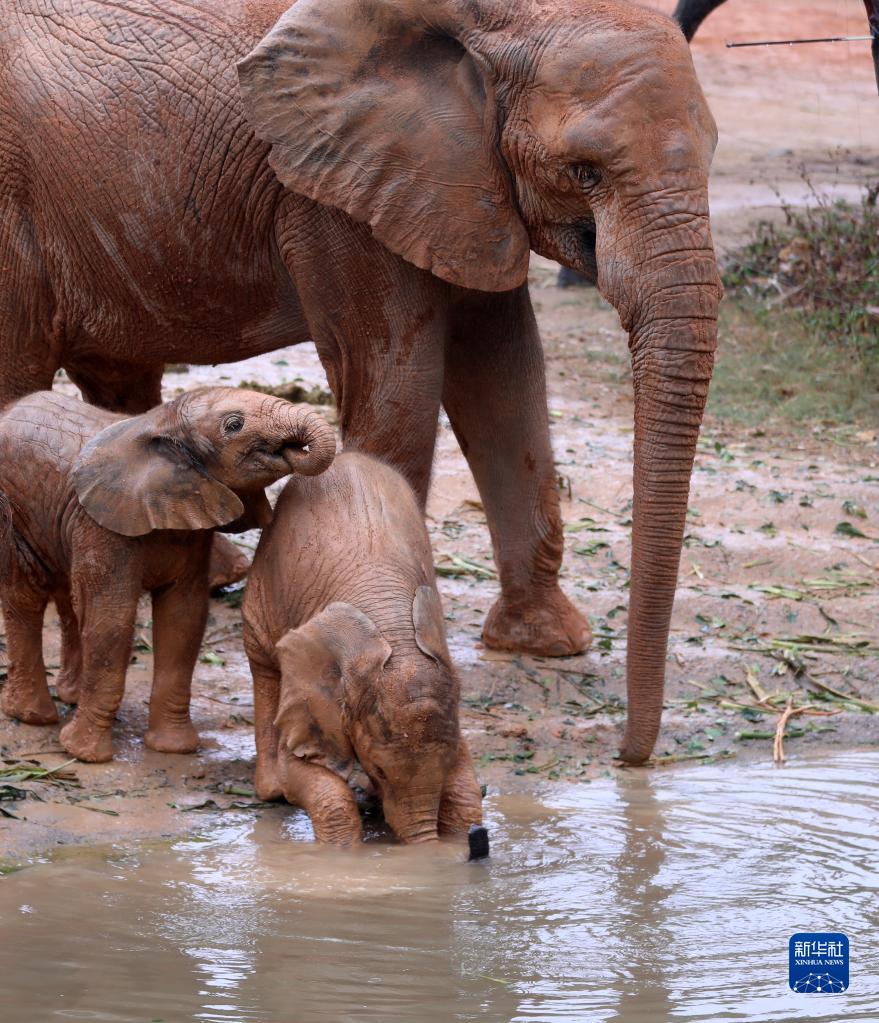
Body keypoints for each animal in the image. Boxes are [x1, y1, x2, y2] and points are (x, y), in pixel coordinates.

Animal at [0, 386, 335, 765]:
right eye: (234, 425)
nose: (295, 448)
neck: (159, 421)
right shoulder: (102, 525)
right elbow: (111, 621)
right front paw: (84, 754)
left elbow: (183, 618)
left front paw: (174, 748)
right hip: (14, 515)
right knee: (26, 596)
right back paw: (32, 716)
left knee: (67, 594)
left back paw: (69, 696)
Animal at [244, 452, 485, 842]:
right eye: (379, 769)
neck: (397, 638)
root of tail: (347, 456)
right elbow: (306, 773)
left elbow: (464, 790)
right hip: (264, 582)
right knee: (263, 664)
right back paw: (271, 788)